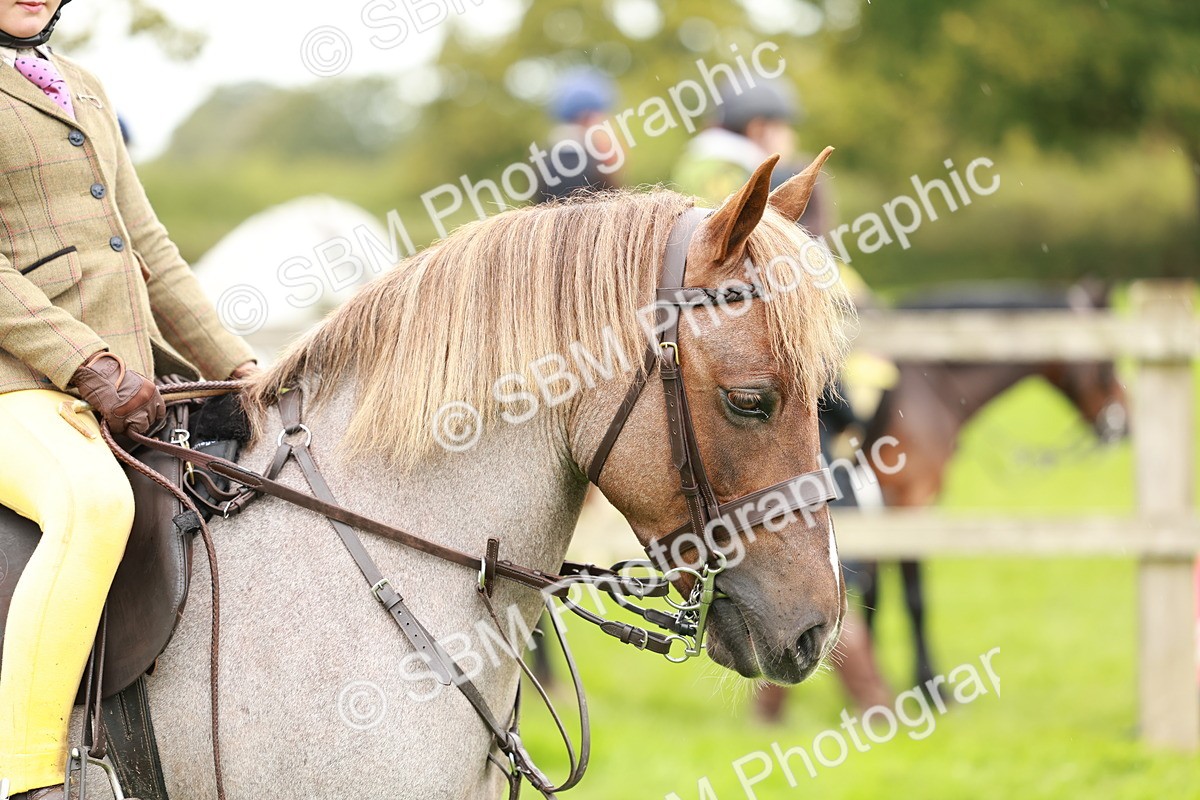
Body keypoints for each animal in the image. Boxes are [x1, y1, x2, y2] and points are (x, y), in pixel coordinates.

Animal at [858, 282, 1128, 695]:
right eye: (1108, 358)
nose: (1124, 422)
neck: (926, 382)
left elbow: (872, 593)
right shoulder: (908, 501)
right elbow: (913, 597)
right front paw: (928, 683)